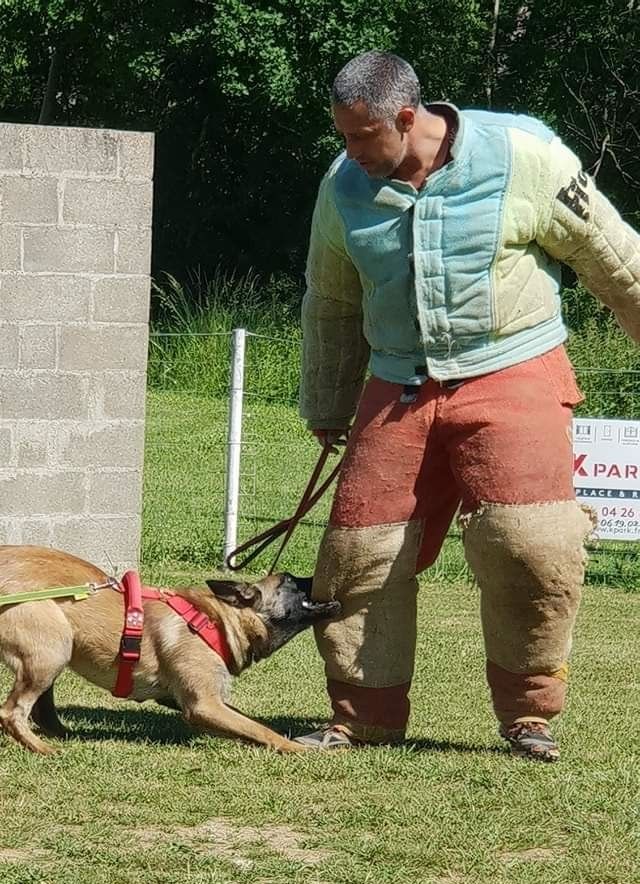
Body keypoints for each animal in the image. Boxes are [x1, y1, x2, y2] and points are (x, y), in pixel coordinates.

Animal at [0, 544, 340, 752]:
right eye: (290, 580)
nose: (327, 572)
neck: (217, 621)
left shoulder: (196, 700)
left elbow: (250, 723)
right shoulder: (203, 705)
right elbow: (260, 729)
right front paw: (298, 748)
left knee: (40, 711)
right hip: (54, 649)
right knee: (11, 712)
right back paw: (44, 748)